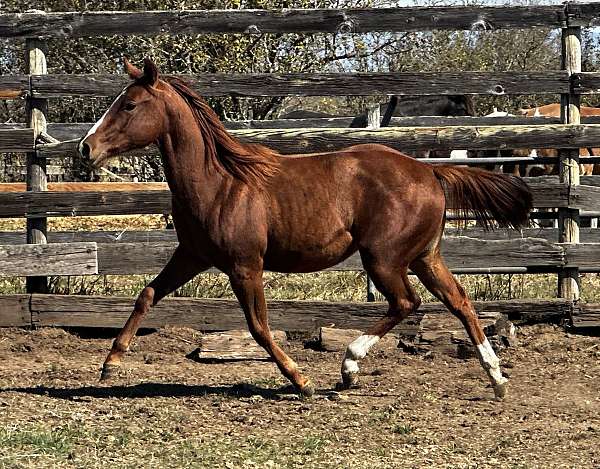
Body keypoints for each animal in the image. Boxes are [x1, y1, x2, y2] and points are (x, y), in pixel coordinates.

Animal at [79, 59, 536, 398]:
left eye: (130, 105)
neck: (220, 182)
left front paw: (302, 380)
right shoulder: (191, 256)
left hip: (384, 258)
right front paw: (109, 364)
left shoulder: (245, 266)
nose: (86, 147)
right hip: (424, 256)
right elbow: (147, 294)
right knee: (458, 300)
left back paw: (349, 366)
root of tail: (430, 172)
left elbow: (259, 327)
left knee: (406, 303)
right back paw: (497, 378)